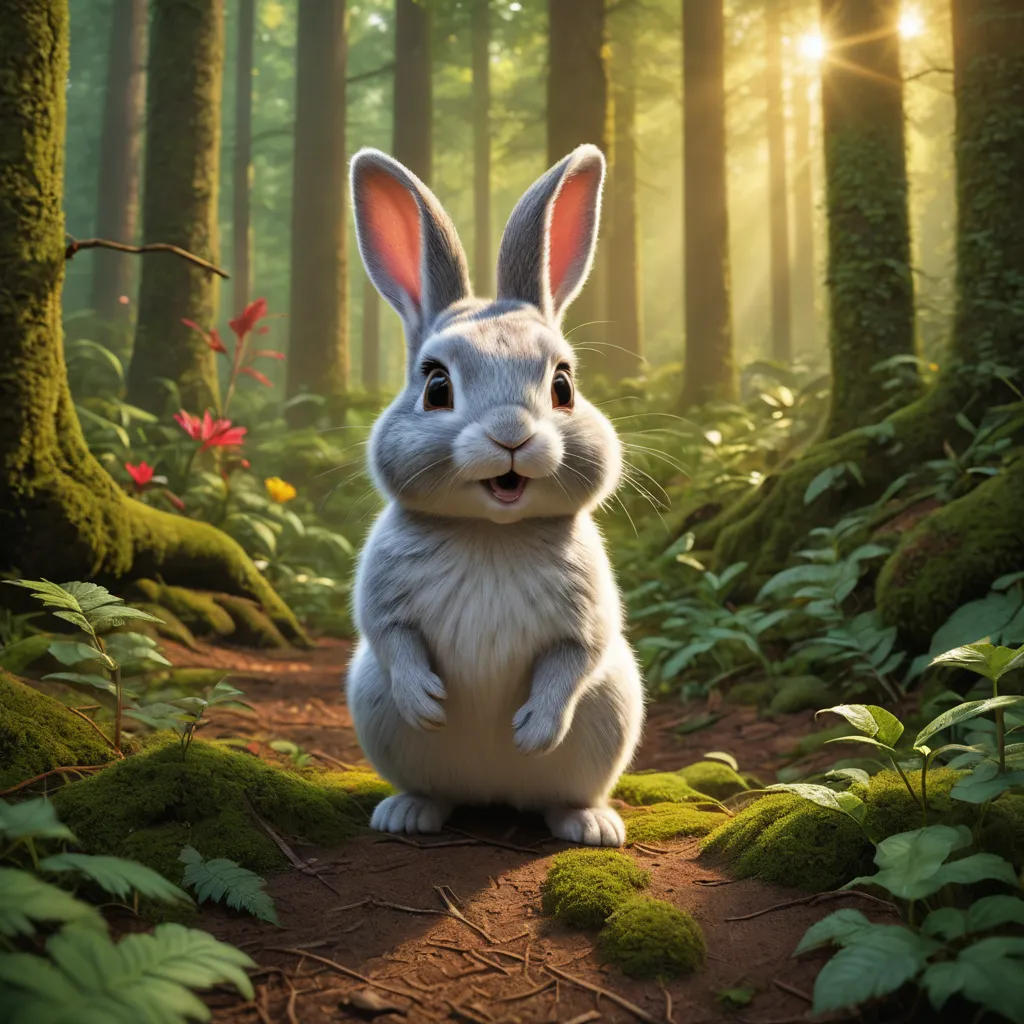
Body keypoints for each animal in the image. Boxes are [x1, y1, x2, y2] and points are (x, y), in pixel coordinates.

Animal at [345, 143, 645, 847]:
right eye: (436, 387)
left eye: (563, 385)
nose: (512, 433)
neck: (492, 530)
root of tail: (495, 794)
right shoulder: (383, 602)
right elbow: (391, 636)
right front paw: (428, 700)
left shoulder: (587, 615)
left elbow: (574, 658)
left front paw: (532, 727)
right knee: (434, 790)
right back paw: (407, 813)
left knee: (564, 793)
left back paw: (590, 825)